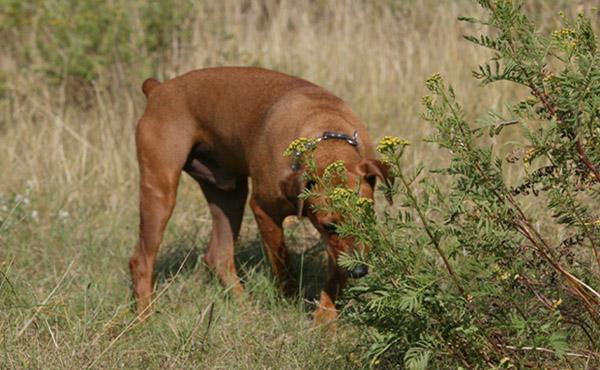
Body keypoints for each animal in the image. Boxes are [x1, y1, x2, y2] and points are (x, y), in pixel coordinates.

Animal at [129, 67, 392, 324]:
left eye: (367, 218)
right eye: (329, 226)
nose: (359, 272)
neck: (325, 129)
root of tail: (158, 88)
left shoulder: (338, 250)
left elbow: (334, 281)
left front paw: (324, 324)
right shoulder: (265, 212)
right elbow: (284, 266)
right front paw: (291, 301)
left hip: (229, 196)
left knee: (218, 257)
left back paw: (245, 309)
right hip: (160, 191)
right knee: (141, 262)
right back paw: (145, 318)